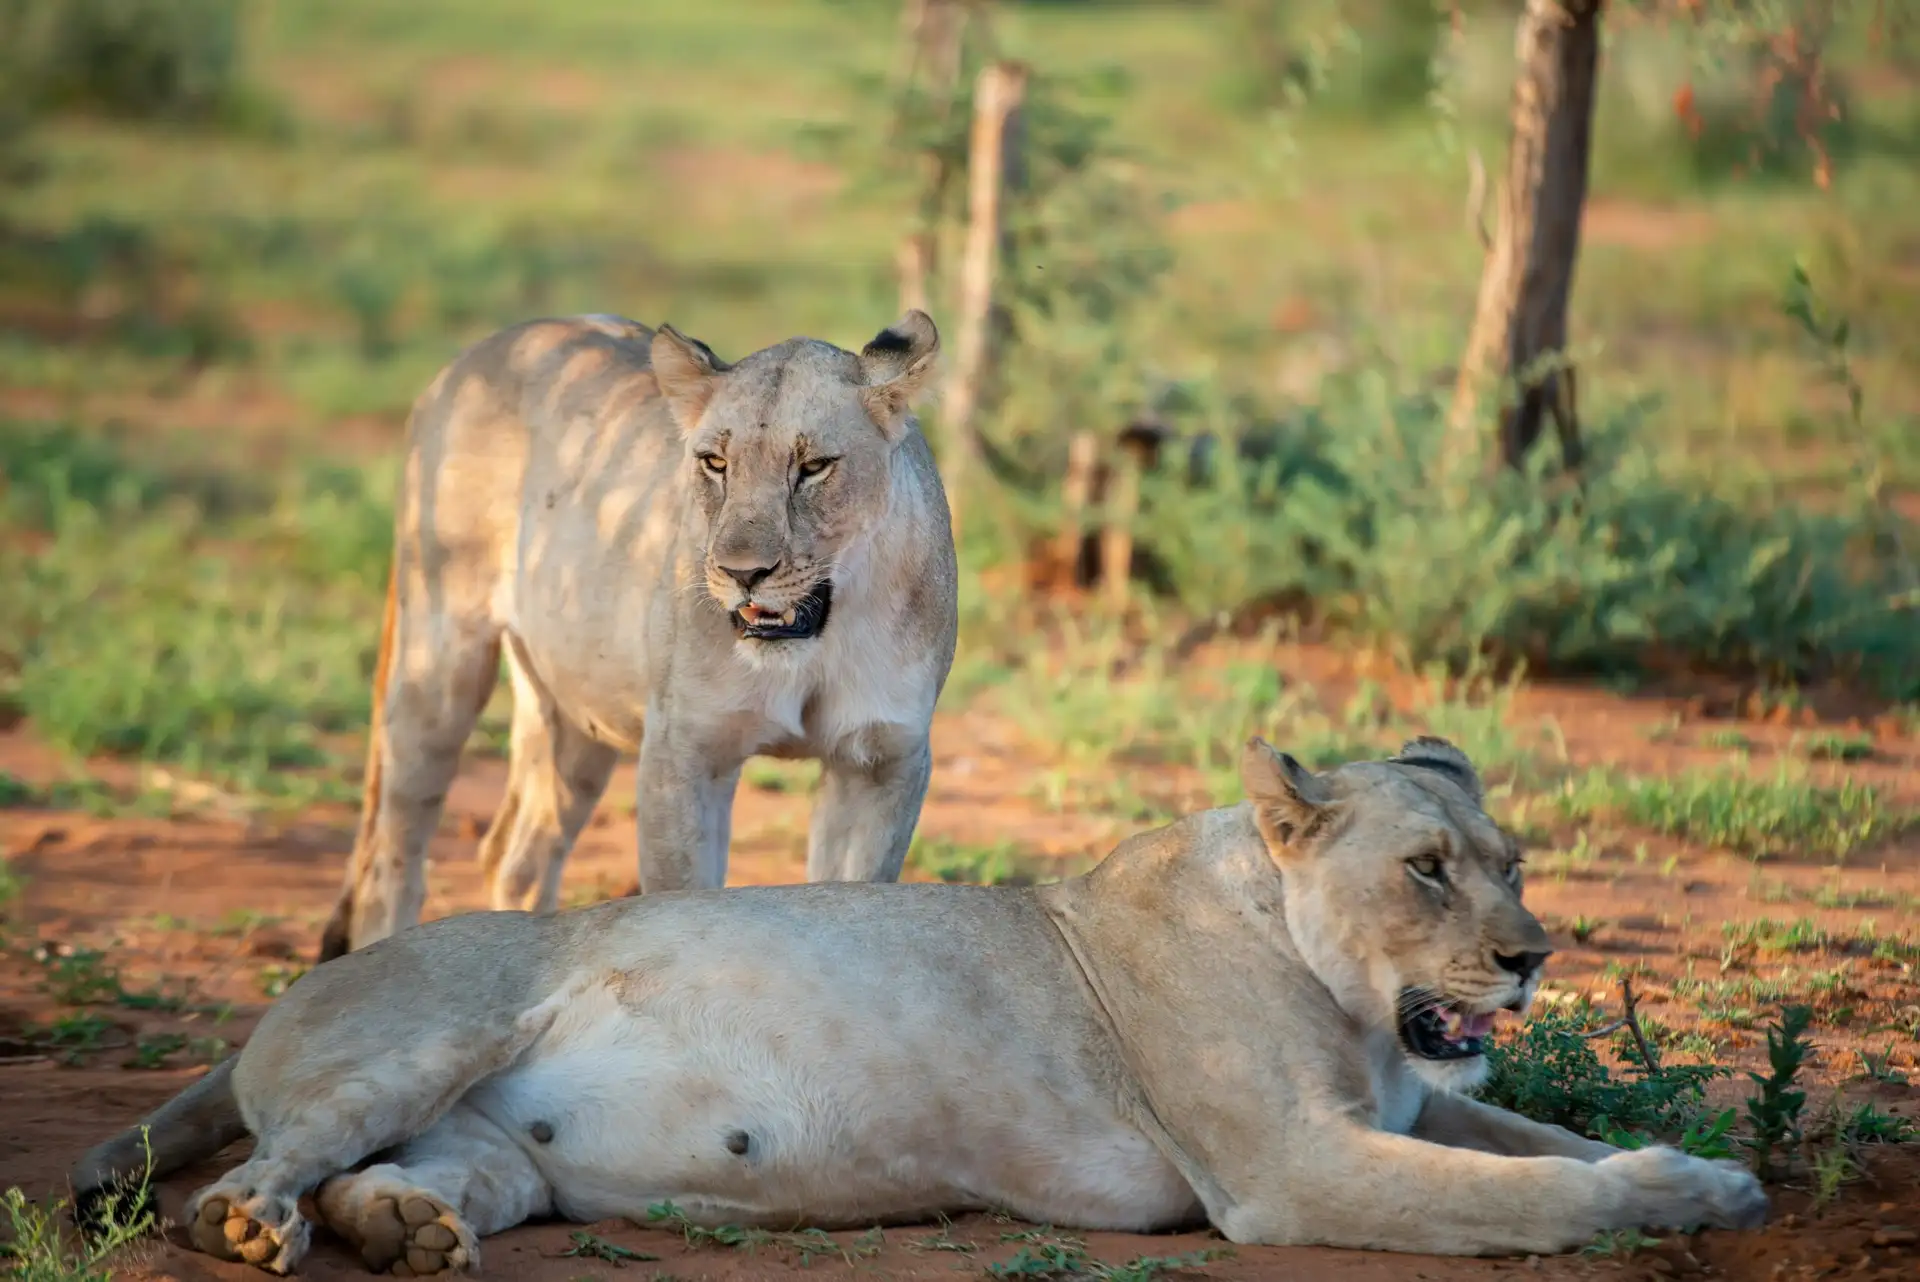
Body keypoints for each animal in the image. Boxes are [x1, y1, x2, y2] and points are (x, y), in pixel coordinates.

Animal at [73, 736, 1767, 1271]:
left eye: (1513, 864)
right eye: (1427, 869)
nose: (1532, 953)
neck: (1346, 995)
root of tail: (287, 995)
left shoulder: (1414, 1097)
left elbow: (1535, 1136)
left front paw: (1717, 1173)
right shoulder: (1287, 1167)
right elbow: (1529, 1197)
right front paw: (1668, 1193)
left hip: (501, 1150)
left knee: (410, 1178)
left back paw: (407, 1233)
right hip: (428, 1038)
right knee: (247, 1172)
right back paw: (255, 1228)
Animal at [315, 308, 958, 962]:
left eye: (813, 467)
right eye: (715, 463)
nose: (741, 573)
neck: (817, 640)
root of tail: (475, 353)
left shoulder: (881, 760)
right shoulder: (685, 751)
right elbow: (685, 901)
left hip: (574, 709)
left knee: (518, 856)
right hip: (438, 661)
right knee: (390, 861)